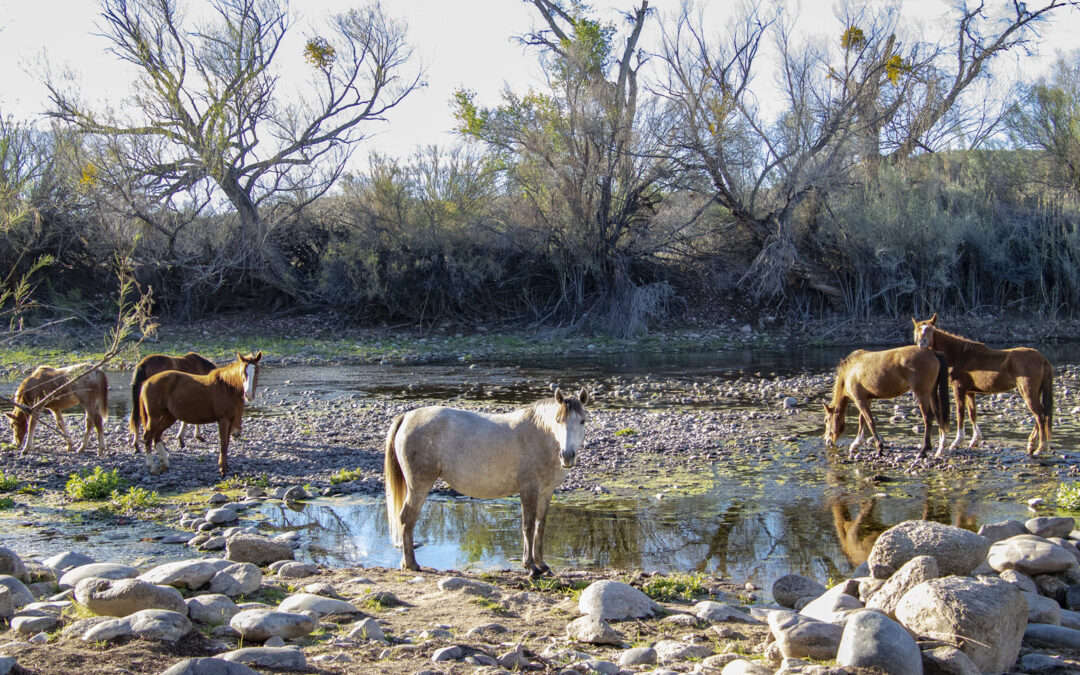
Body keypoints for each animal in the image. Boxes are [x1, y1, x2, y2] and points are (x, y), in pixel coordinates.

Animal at [139, 349, 261, 477]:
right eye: (242, 372)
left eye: (257, 371)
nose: (248, 394)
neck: (227, 387)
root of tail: (147, 381)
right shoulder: (223, 420)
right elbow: (223, 444)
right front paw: (222, 469)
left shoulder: (231, 420)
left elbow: (226, 443)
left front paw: (226, 466)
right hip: (154, 416)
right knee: (148, 436)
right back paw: (152, 466)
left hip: (169, 416)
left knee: (157, 435)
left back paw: (165, 463)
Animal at [386, 386, 591, 574]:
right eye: (558, 421)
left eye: (582, 421)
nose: (567, 455)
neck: (541, 435)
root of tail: (407, 416)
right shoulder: (529, 489)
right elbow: (528, 526)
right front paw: (530, 566)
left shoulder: (546, 492)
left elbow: (540, 526)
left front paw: (542, 564)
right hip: (419, 486)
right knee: (406, 519)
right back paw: (411, 564)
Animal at [820, 347, 950, 457]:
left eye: (826, 420)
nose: (827, 440)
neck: (849, 372)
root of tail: (932, 353)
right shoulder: (866, 400)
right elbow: (862, 421)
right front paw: (856, 444)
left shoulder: (859, 400)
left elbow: (870, 422)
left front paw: (879, 448)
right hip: (932, 392)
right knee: (938, 415)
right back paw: (940, 448)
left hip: (922, 394)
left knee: (928, 418)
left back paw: (924, 450)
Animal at [911, 315, 1054, 453]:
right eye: (917, 330)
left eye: (930, 330)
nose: (922, 343)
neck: (959, 355)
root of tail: (1042, 359)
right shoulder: (970, 391)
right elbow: (972, 413)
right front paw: (975, 440)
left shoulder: (959, 389)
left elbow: (960, 413)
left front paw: (957, 442)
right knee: (1040, 415)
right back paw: (1032, 444)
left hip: (1027, 391)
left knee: (1040, 415)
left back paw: (1041, 447)